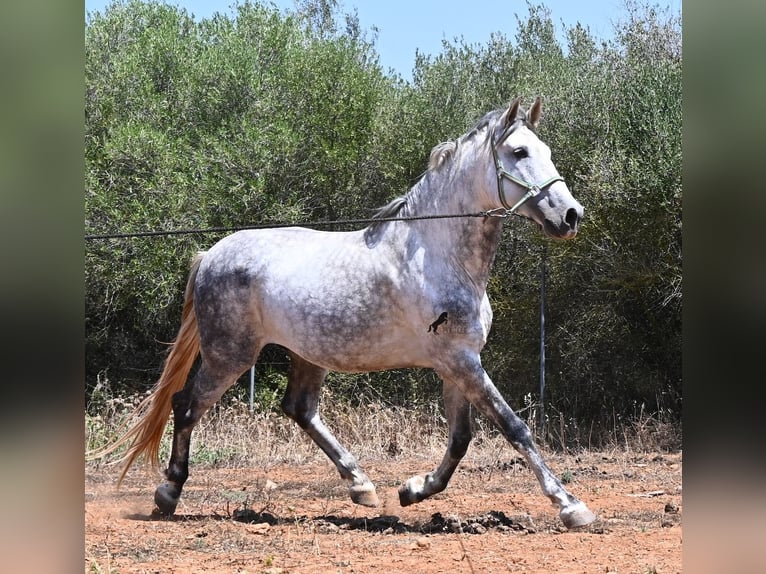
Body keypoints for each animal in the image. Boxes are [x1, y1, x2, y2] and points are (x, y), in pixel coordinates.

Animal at [92, 96, 596, 529]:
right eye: (519, 151)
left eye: (546, 151)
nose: (571, 215)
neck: (437, 254)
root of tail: (211, 254)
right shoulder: (459, 361)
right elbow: (515, 427)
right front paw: (570, 505)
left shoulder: (458, 362)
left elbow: (459, 440)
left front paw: (413, 490)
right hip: (229, 355)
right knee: (187, 405)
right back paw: (169, 493)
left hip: (306, 353)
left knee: (298, 409)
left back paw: (362, 485)